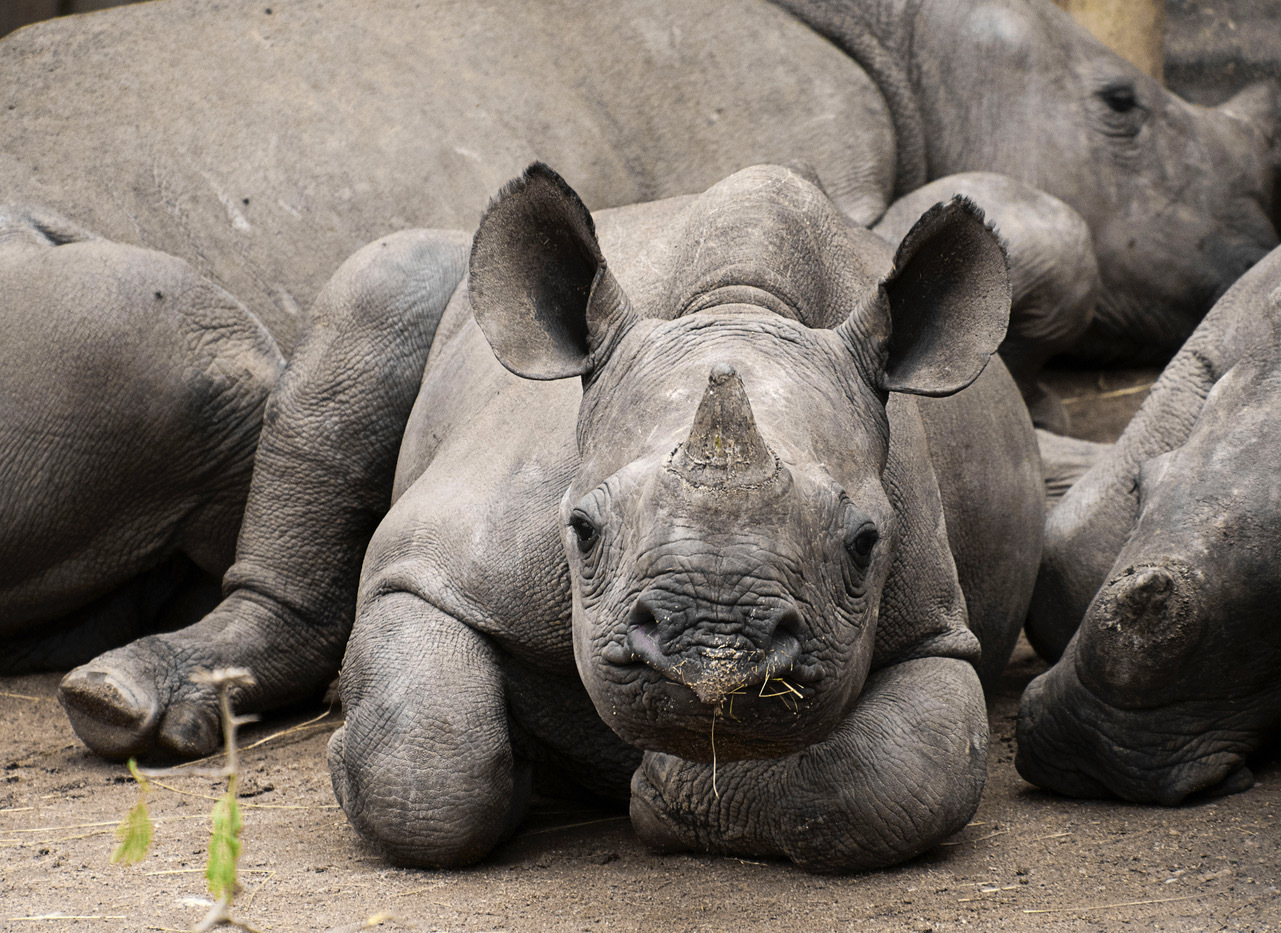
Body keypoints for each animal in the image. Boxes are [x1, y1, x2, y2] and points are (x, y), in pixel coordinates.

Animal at [324, 162, 1043, 870]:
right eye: (581, 530)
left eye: (865, 544)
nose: (712, 650)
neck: (740, 306)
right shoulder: (428, 561)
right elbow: (429, 768)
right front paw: (348, 761)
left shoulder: (934, 629)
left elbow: (911, 766)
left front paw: (663, 782)